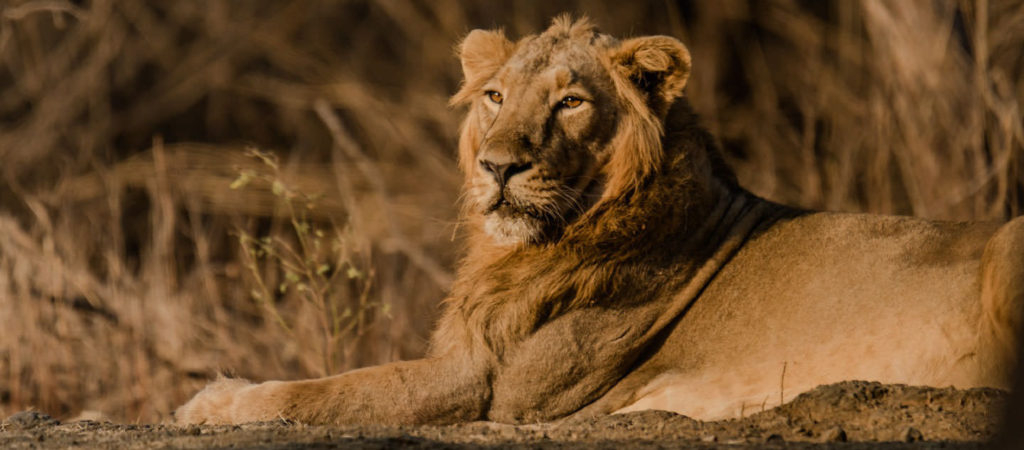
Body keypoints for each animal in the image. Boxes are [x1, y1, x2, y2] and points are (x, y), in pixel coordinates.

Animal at [175, 16, 1024, 425]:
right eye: (494, 97)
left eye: (571, 103)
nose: (498, 166)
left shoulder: (496, 389)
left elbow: (337, 389)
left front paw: (215, 402)